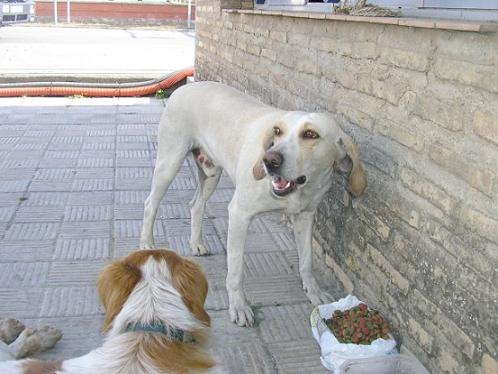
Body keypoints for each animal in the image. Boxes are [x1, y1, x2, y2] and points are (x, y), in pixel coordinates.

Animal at [140, 82, 366, 328]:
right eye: (277, 131)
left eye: (310, 134)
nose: (270, 160)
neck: (296, 192)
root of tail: (186, 87)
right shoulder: (239, 215)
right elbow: (235, 272)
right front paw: (239, 307)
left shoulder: (305, 217)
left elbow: (306, 262)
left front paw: (314, 292)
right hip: (169, 163)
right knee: (150, 203)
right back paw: (147, 244)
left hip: (211, 174)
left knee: (195, 204)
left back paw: (196, 243)